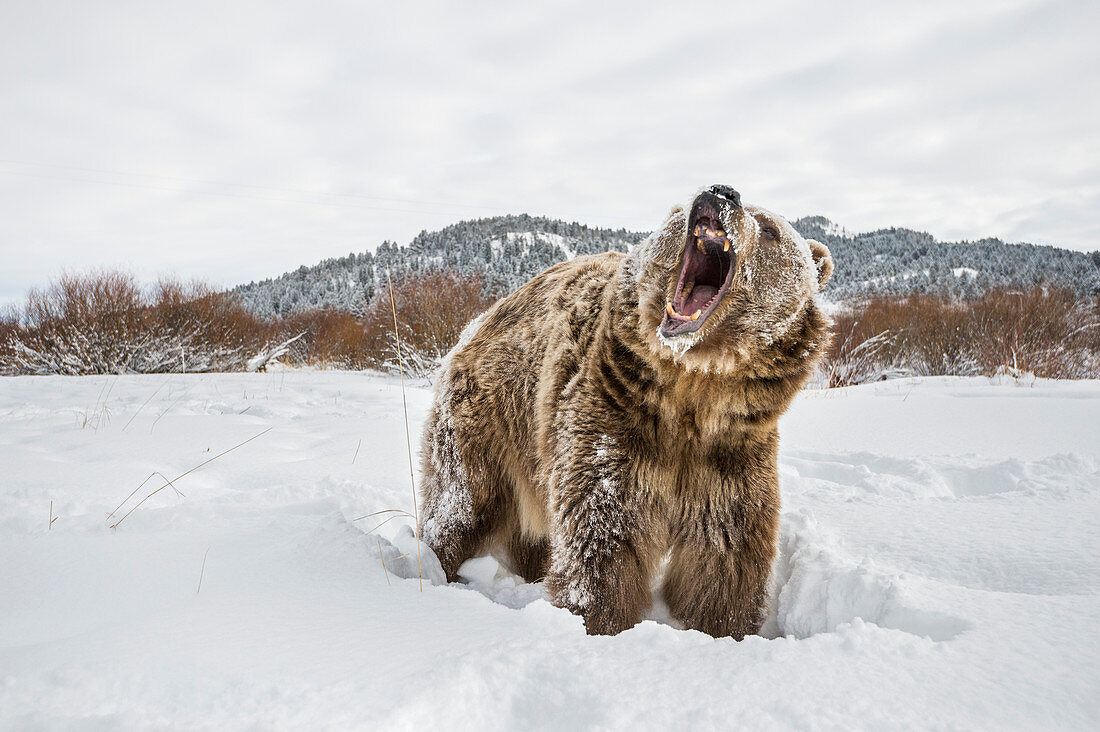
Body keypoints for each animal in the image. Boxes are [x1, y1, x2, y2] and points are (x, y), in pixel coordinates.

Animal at [415, 186, 827, 638]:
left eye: (771, 229)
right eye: (679, 211)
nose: (722, 192)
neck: (692, 389)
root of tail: (476, 323)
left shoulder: (731, 451)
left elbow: (725, 551)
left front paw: (721, 627)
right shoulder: (614, 419)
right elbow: (604, 534)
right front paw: (600, 619)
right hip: (488, 414)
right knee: (462, 500)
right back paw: (434, 565)